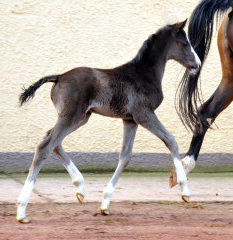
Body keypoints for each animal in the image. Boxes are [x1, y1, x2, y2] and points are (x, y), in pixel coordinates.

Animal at [17, 19, 201, 222]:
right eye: (184, 43)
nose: (197, 64)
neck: (144, 74)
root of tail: (59, 77)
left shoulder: (130, 120)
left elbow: (125, 156)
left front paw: (105, 203)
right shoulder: (144, 114)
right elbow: (171, 140)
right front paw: (184, 189)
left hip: (80, 118)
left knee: (52, 140)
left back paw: (79, 187)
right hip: (71, 117)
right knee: (45, 146)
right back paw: (22, 209)